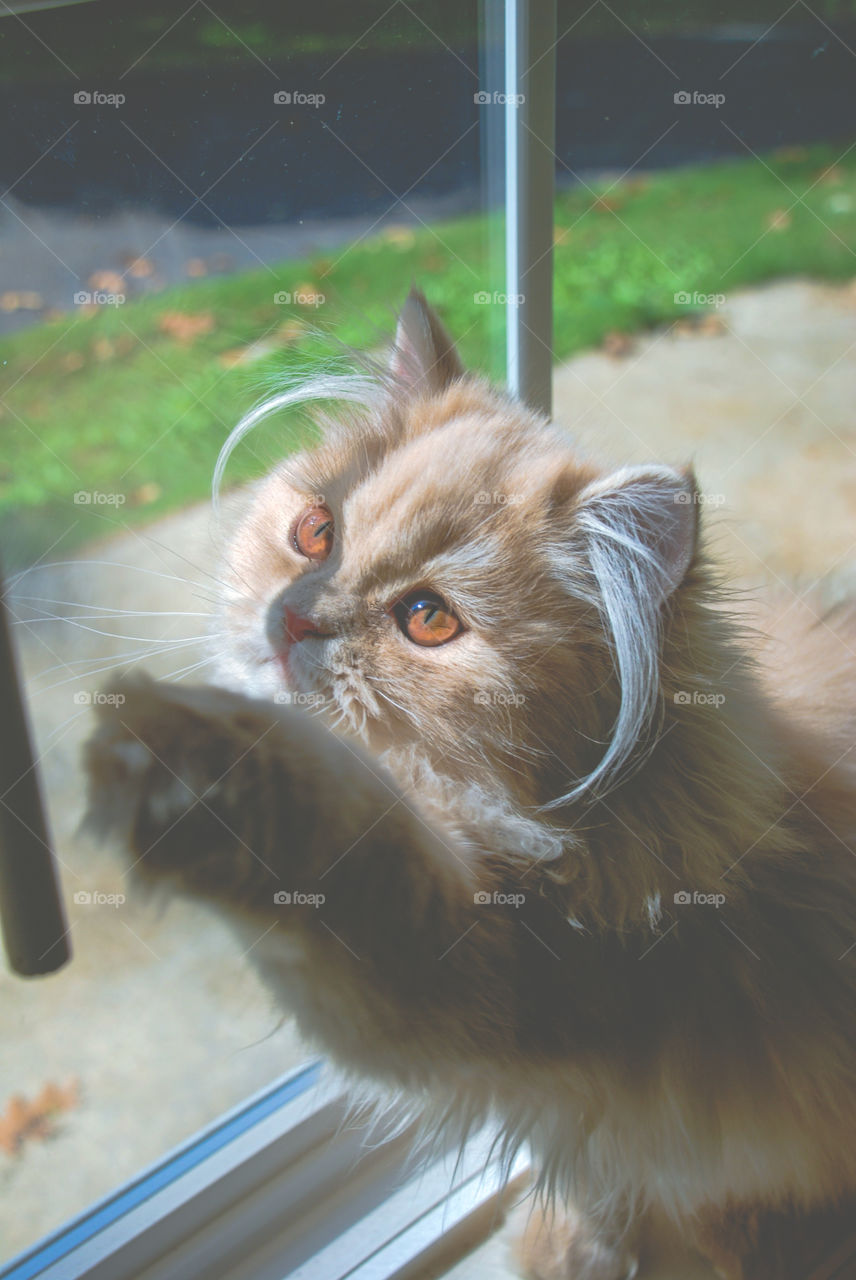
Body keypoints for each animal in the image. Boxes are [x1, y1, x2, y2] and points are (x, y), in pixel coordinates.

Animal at [85, 293, 854, 1280]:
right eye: (315, 533)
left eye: (428, 620)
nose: (291, 618)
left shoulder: (480, 979)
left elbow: (340, 836)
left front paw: (172, 748)